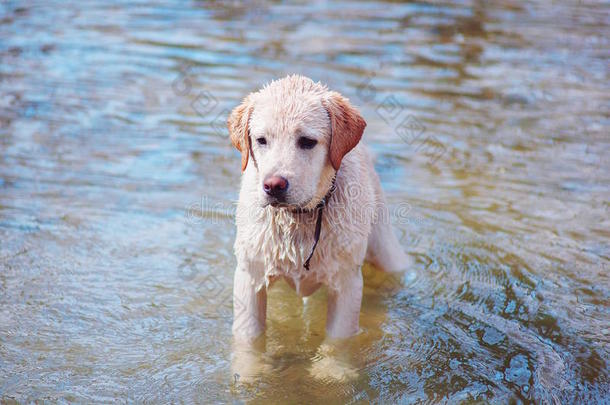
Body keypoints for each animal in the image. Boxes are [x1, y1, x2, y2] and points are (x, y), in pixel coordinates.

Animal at [229, 74, 414, 340]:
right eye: (261, 140)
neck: (298, 219)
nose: (273, 186)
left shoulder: (347, 285)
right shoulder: (250, 277)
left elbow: (336, 346)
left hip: (386, 249)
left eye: (307, 141)